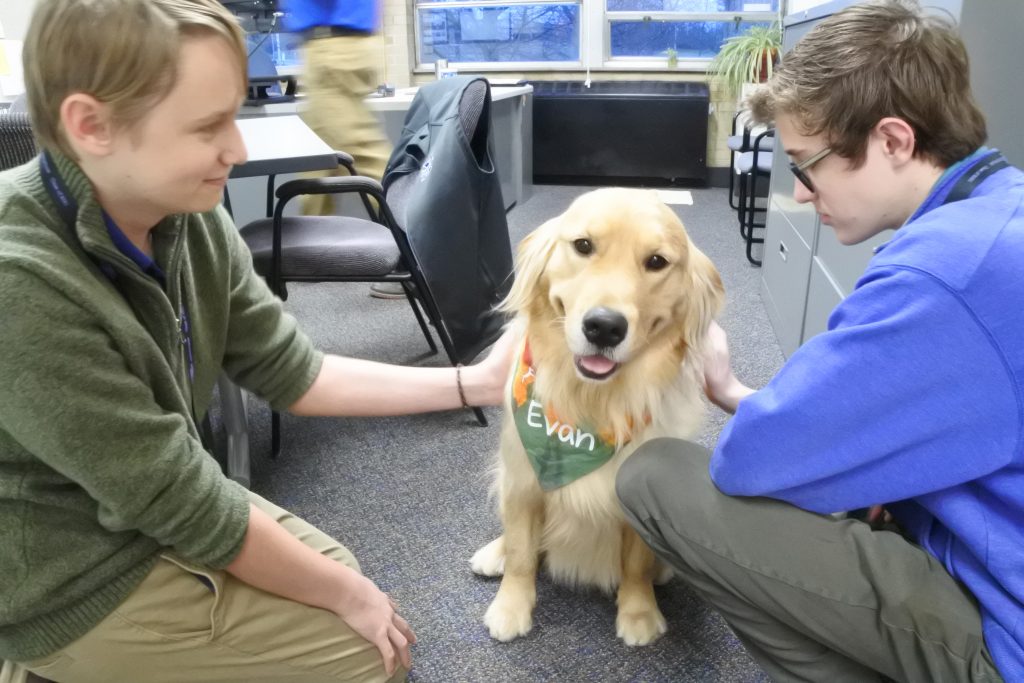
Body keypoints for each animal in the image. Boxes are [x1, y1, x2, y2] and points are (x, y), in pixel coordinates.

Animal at [468, 187, 724, 647]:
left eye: (656, 261)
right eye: (583, 246)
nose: (604, 327)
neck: (589, 405)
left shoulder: (634, 497)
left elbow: (636, 565)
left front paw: (638, 613)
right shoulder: (523, 480)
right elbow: (521, 552)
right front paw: (511, 606)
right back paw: (493, 553)